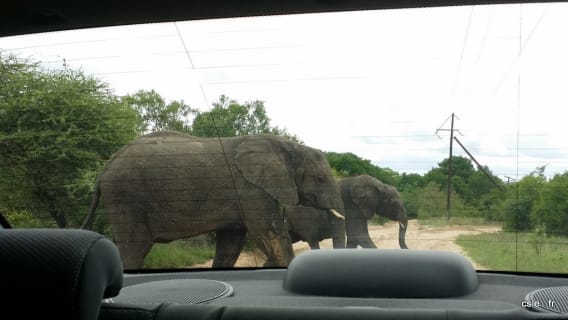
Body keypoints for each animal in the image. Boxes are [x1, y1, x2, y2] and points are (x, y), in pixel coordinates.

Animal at [81, 130, 344, 268]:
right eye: (320, 179)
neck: (287, 145)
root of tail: (105, 167)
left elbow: (231, 241)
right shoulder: (250, 189)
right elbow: (270, 234)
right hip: (126, 197)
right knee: (134, 250)